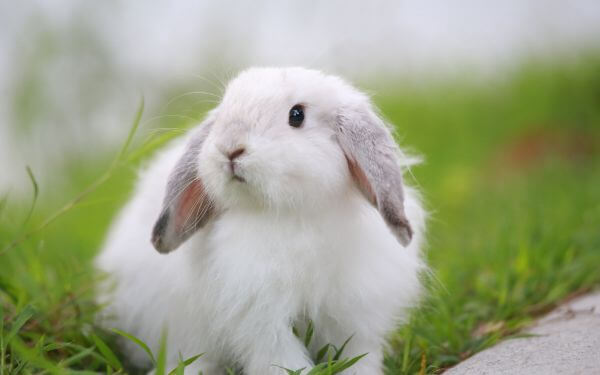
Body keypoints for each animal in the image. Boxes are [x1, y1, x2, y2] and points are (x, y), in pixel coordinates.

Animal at [96, 67, 426, 375]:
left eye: (297, 115)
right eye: (223, 110)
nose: (230, 148)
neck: (291, 213)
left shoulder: (355, 314)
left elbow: (358, 353)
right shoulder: (261, 318)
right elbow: (280, 357)